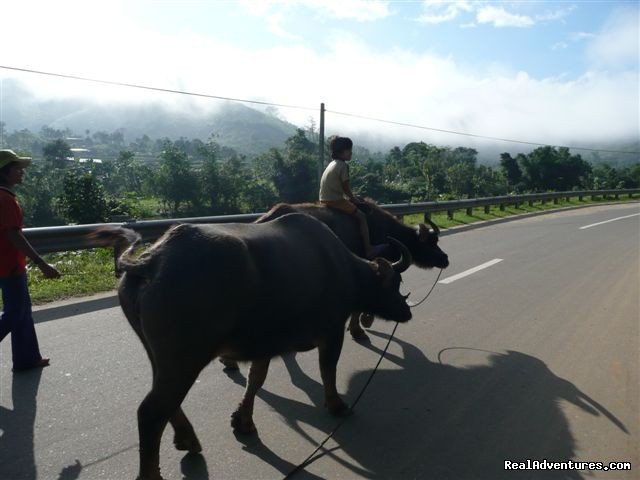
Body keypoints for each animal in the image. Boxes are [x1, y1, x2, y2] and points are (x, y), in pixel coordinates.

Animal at [90, 214, 412, 480]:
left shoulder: (264, 344)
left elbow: (256, 380)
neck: (342, 268)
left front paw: (243, 421)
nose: (407, 312)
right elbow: (327, 370)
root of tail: (152, 261)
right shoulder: (331, 333)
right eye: (395, 283)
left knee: (166, 401)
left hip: (159, 354)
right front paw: (337, 405)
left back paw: (187, 439)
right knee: (152, 410)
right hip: (185, 358)